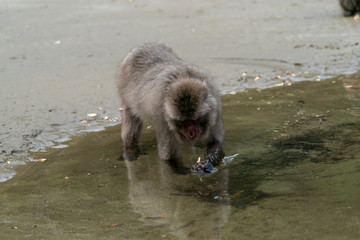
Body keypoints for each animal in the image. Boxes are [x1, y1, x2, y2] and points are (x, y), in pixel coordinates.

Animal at [119, 42, 225, 172]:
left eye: (195, 120)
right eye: (184, 121)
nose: (191, 133)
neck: (184, 77)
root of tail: (143, 47)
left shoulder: (215, 108)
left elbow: (214, 142)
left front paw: (207, 163)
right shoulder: (162, 118)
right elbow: (168, 156)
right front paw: (182, 171)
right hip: (126, 93)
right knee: (131, 124)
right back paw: (131, 150)